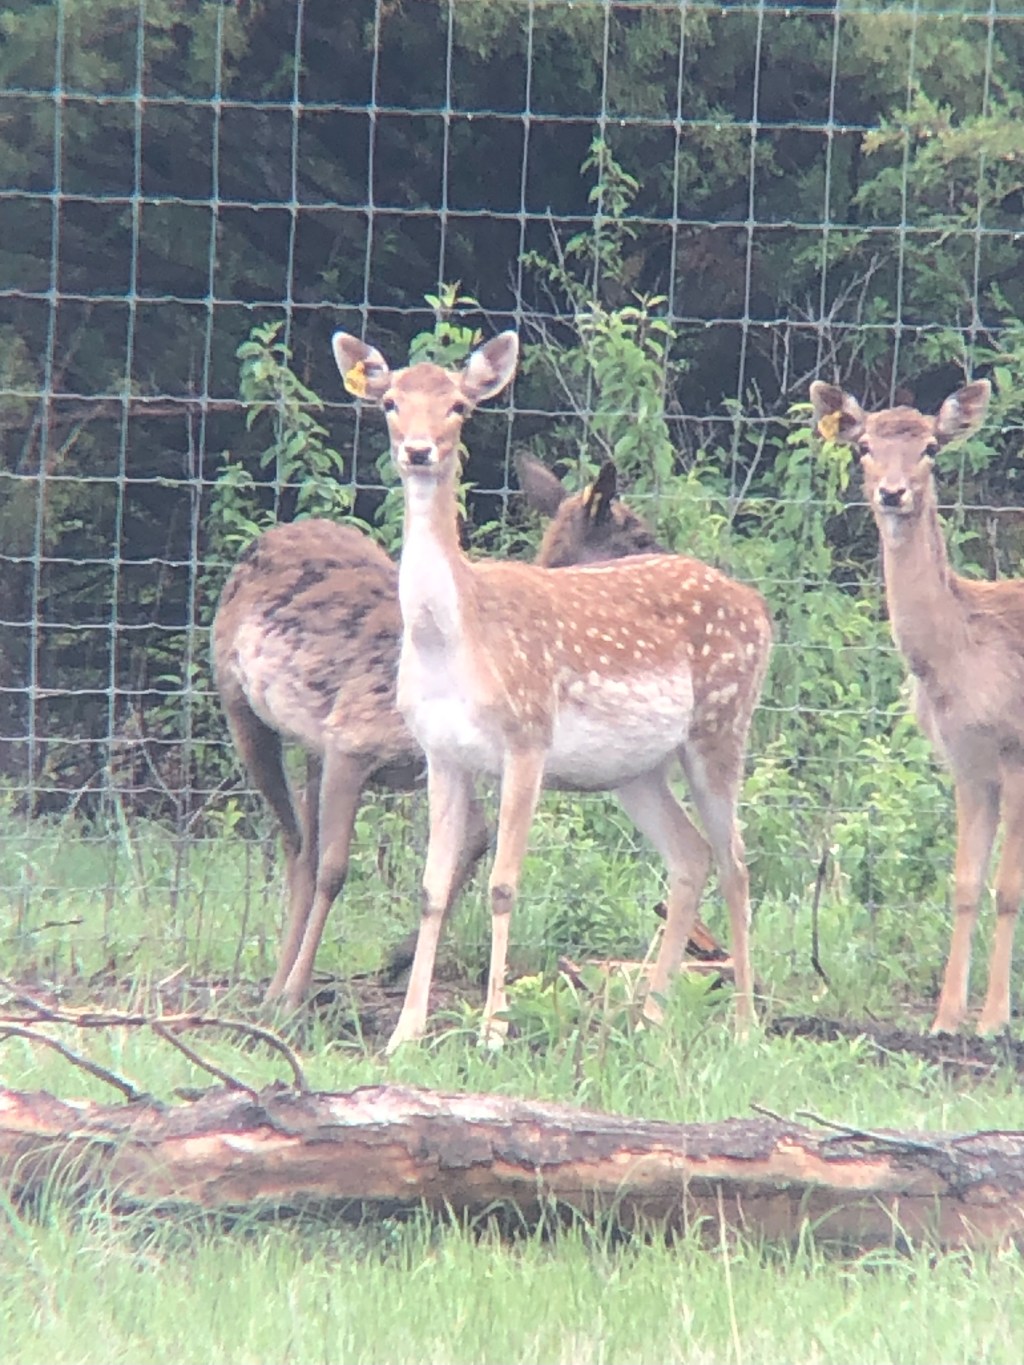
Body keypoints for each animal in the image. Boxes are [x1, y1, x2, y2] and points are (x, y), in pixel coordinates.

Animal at [211, 443, 689, 1012]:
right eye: (637, 536)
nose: (675, 566)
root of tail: (266, 538)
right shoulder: (352, 739)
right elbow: (334, 868)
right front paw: (296, 992)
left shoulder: (431, 759)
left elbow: (474, 841)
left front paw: (397, 956)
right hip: (238, 702)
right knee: (296, 843)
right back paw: (278, 988)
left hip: (310, 744)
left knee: (301, 839)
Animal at [331, 329, 773, 1052]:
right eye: (390, 401)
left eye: (458, 406)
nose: (418, 450)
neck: (455, 640)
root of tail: (760, 608)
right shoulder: (440, 752)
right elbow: (431, 886)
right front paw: (404, 1034)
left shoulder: (528, 734)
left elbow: (504, 884)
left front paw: (492, 1031)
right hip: (635, 768)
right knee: (692, 854)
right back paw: (648, 1017)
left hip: (722, 722)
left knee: (736, 860)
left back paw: (742, 1026)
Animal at [810, 377, 1024, 1036]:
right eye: (862, 448)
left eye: (931, 446)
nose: (892, 492)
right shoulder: (966, 762)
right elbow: (965, 883)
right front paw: (946, 1018)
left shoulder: (1016, 751)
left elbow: (1008, 889)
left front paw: (993, 1020)